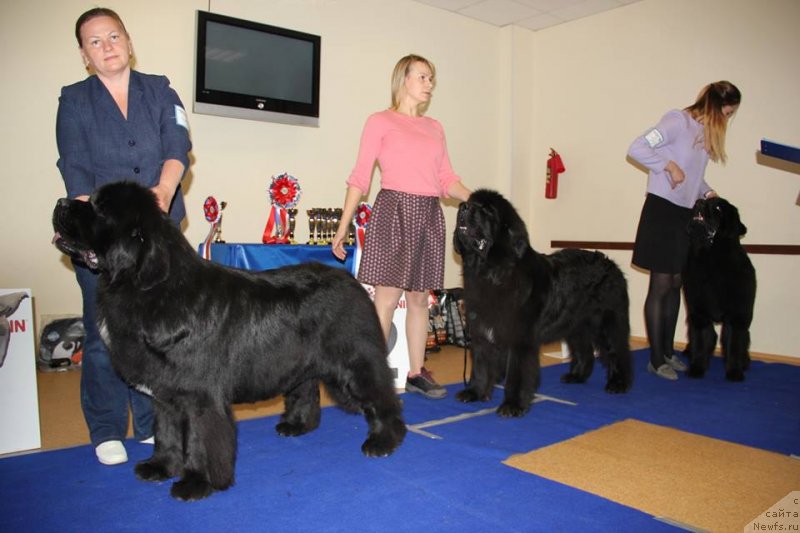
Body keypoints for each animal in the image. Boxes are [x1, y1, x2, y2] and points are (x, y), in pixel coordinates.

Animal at [50, 182, 404, 498]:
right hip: (302, 361)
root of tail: (351, 280)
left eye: (99, 208)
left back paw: (384, 441)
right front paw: (159, 467)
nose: (60, 202)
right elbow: (165, 432)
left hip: (354, 362)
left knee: (381, 395)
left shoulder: (199, 395)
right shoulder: (164, 393)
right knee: (305, 389)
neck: (150, 286)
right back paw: (296, 425)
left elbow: (200, 440)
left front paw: (196, 483)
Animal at [454, 188, 636, 416]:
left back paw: (619, 383)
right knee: (584, 350)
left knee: (617, 351)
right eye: (469, 201)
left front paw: (513, 405)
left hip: (606, 322)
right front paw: (475, 392)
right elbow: (480, 364)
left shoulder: (520, 338)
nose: (463, 207)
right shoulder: (481, 330)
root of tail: (612, 265)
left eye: (487, 210)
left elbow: (517, 371)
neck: (491, 272)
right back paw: (576, 376)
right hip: (576, 325)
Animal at [680, 194, 756, 378]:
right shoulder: (698, 312)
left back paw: (744, 363)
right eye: (702, 200)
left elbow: (733, 344)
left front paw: (734, 373)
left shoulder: (736, 315)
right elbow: (700, 341)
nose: (698, 202)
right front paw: (697, 369)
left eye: (718, 208)